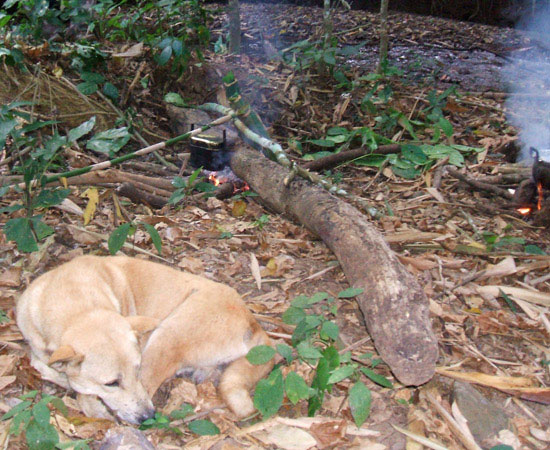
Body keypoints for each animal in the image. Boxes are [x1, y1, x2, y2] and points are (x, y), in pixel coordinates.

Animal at [16, 255, 274, 424]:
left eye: (137, 370)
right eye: (112, 383)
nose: (149, 416)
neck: (75, 301)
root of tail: (254, 323)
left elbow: (77, 387)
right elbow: (41, 363)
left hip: (168, 334)